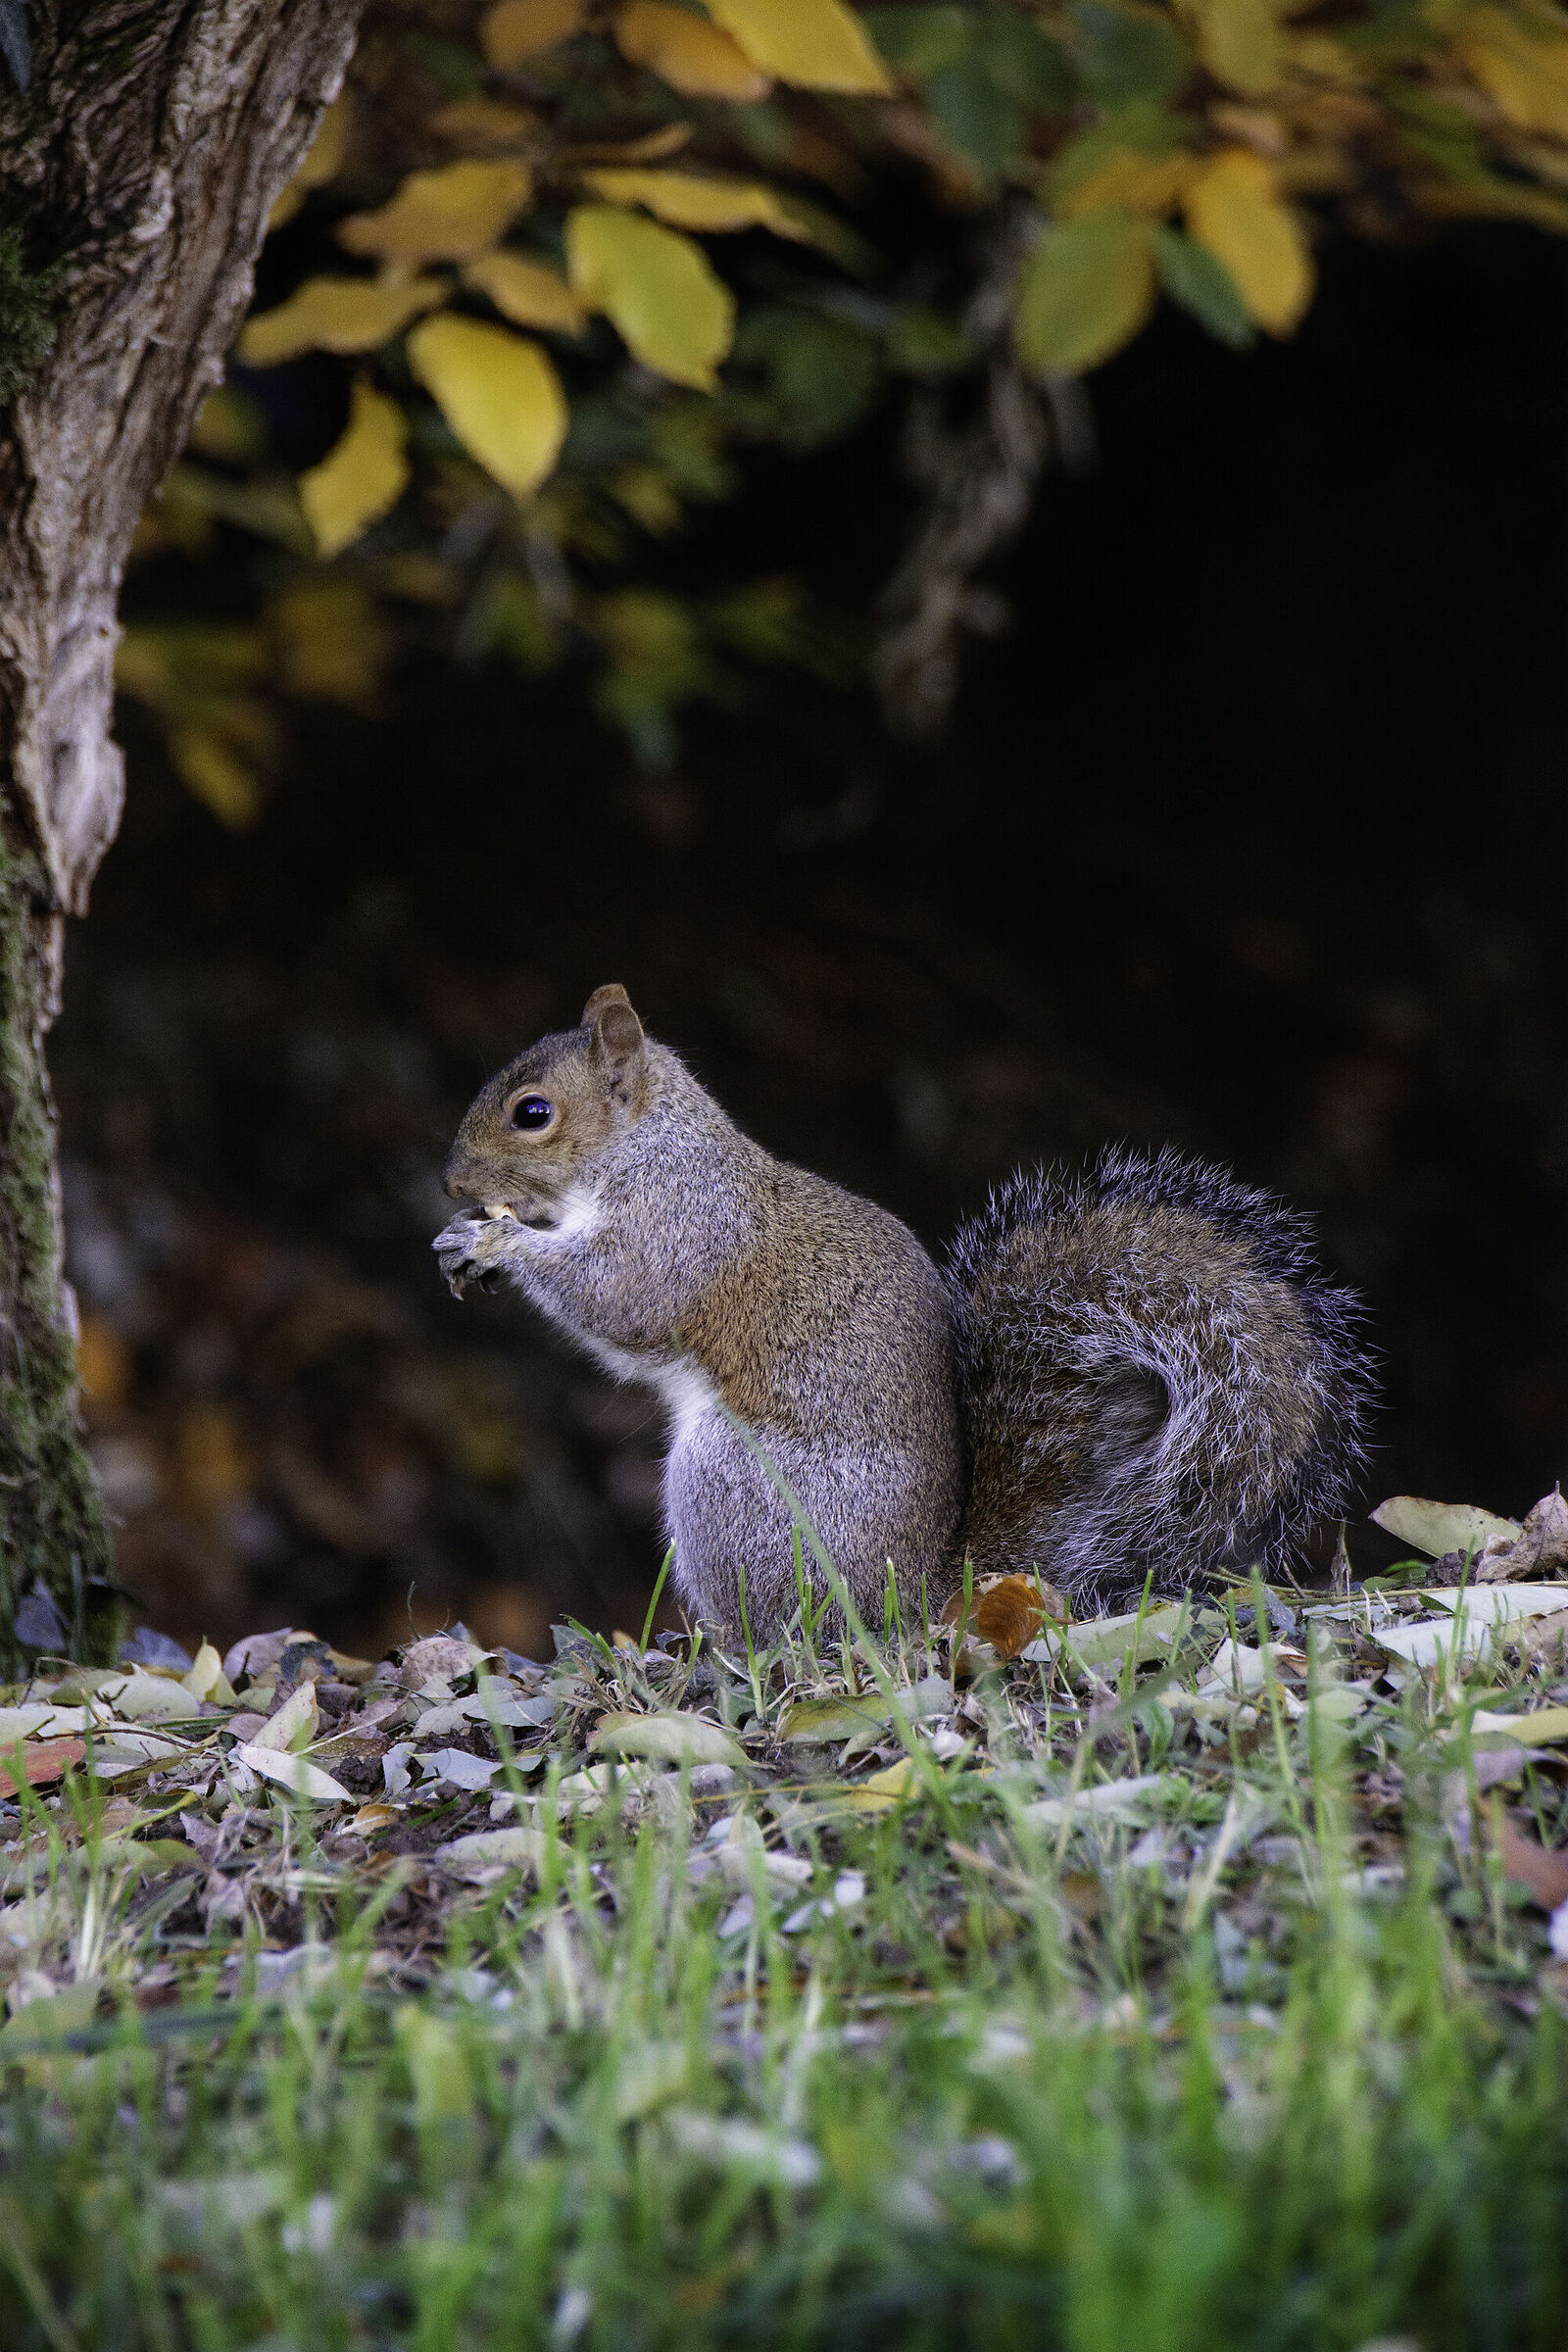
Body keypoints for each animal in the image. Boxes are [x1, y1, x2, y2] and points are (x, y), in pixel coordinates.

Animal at [434, 984, 1374, 1638]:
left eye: (532, 1113)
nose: (451, 1183)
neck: (647, 1150)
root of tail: (919, 1597)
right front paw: (462, 1239)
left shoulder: (679, 1230)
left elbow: (619, 1297)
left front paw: (499, 1242)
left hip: (734, 1490)